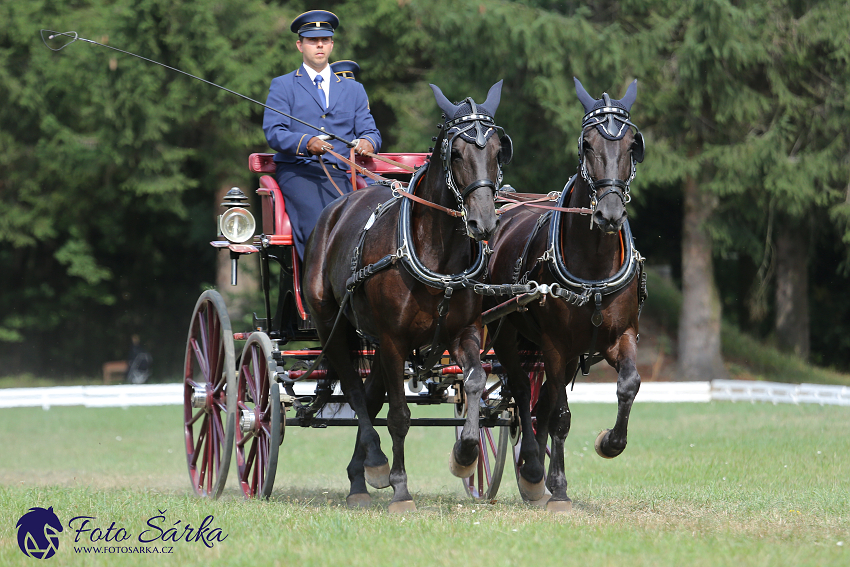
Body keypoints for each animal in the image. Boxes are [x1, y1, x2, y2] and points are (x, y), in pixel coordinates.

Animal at [302, 81, 506, 516]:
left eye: (499, 150)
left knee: (369, 395)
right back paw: (377, 464)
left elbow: (475, 381)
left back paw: (358, 478)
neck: (435, 251)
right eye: (456, 152)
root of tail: (335, 208)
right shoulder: (395, 341)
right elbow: (398, 415)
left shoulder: (463, 331)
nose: (483, 222)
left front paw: (466, 453)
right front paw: (399, 488)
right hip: (333, 326)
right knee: (356, 393)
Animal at [484, 79, 644, 516]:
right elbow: (558, 415)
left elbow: (629, 384)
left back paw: (531, 472)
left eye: (632, 145)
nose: (609, 214)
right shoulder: (557, 345)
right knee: (524, 395)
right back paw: (533, 466)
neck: (594, 267)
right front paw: (556, 485)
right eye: (587, 144)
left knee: (536, 403)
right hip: (509, 336)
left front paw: (610, 443)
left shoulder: (619, 336)